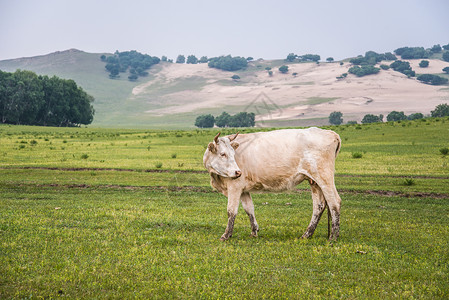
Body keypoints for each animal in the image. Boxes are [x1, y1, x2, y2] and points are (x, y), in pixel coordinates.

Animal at [201, 127, 342, 241]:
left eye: (233, 154)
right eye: (223, 154)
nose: (238, 172)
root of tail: (330, 132)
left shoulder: (234, 186)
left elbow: (231, 211)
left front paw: (226, 235)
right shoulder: (244, 189)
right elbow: (249, 209)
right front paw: (254, 232)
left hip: (324, 178)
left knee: (334, 202)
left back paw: (333, 236)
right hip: (314, 182)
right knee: (319, 206)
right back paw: (307, 234)